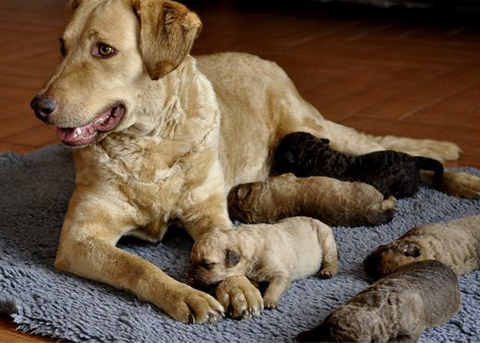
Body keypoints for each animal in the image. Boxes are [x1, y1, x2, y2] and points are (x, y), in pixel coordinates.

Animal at [189, 219, 340, 310]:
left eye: (208, 264)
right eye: (191, 262)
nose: (191, 278)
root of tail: (320, 221)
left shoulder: (281, 275)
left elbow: (274, 286)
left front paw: (269, 300)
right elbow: (253, 281)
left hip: (325, 240)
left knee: (332, 260)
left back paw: (328, 271)